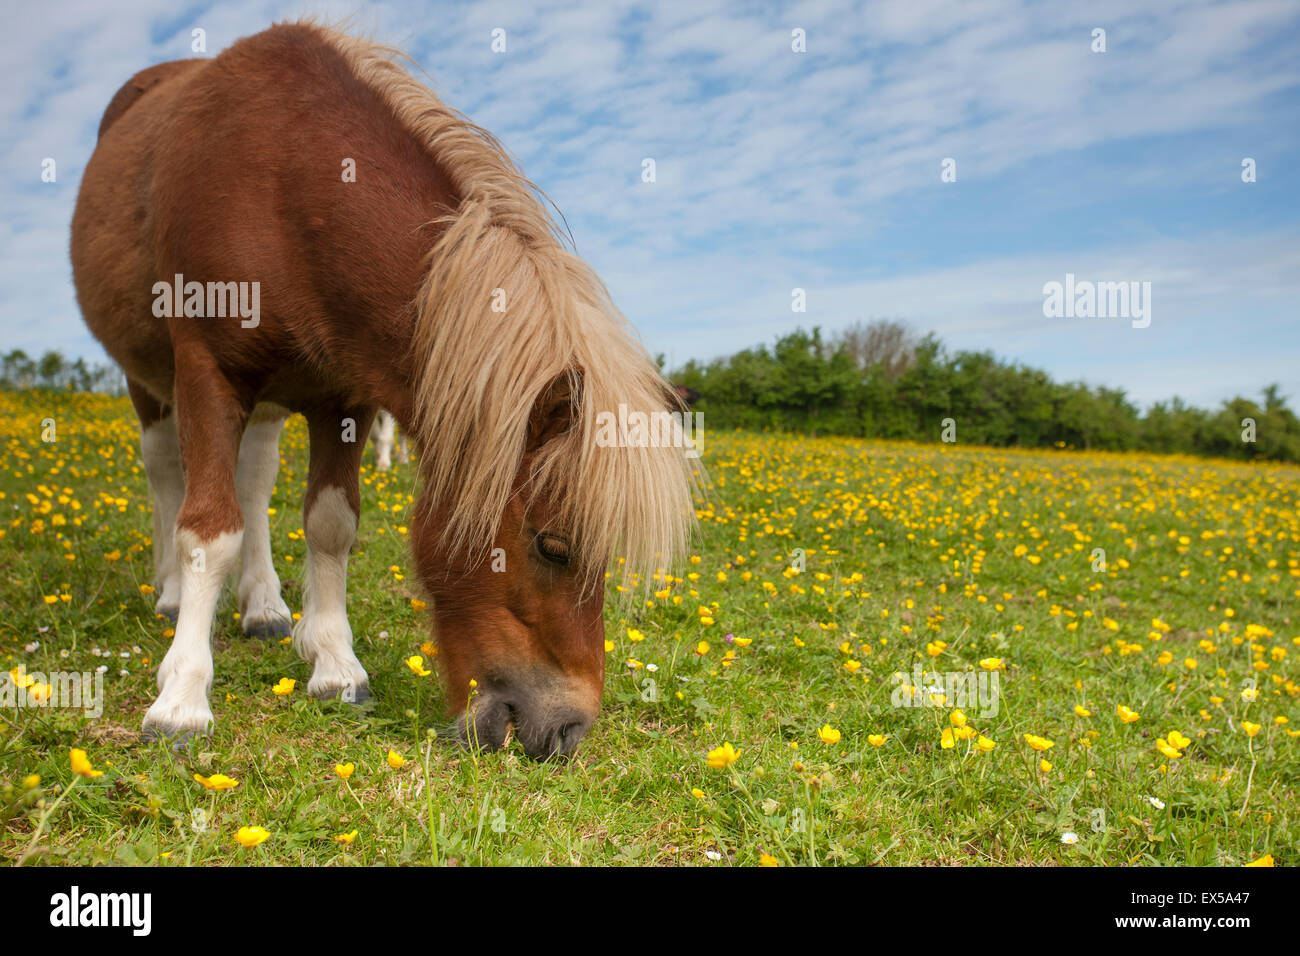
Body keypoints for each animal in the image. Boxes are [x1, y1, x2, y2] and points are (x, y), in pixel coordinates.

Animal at [70, 21, 697, 759]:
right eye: (552, 545)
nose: (567, 730)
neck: (284, 189)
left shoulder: (344, 398)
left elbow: (330, 524)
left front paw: (335, 665)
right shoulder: (205, 372)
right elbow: (208, 529)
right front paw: (182, 697)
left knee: (254, 482)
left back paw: (264, 606)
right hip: (149, 382)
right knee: (167, 474)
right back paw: (171, 594)